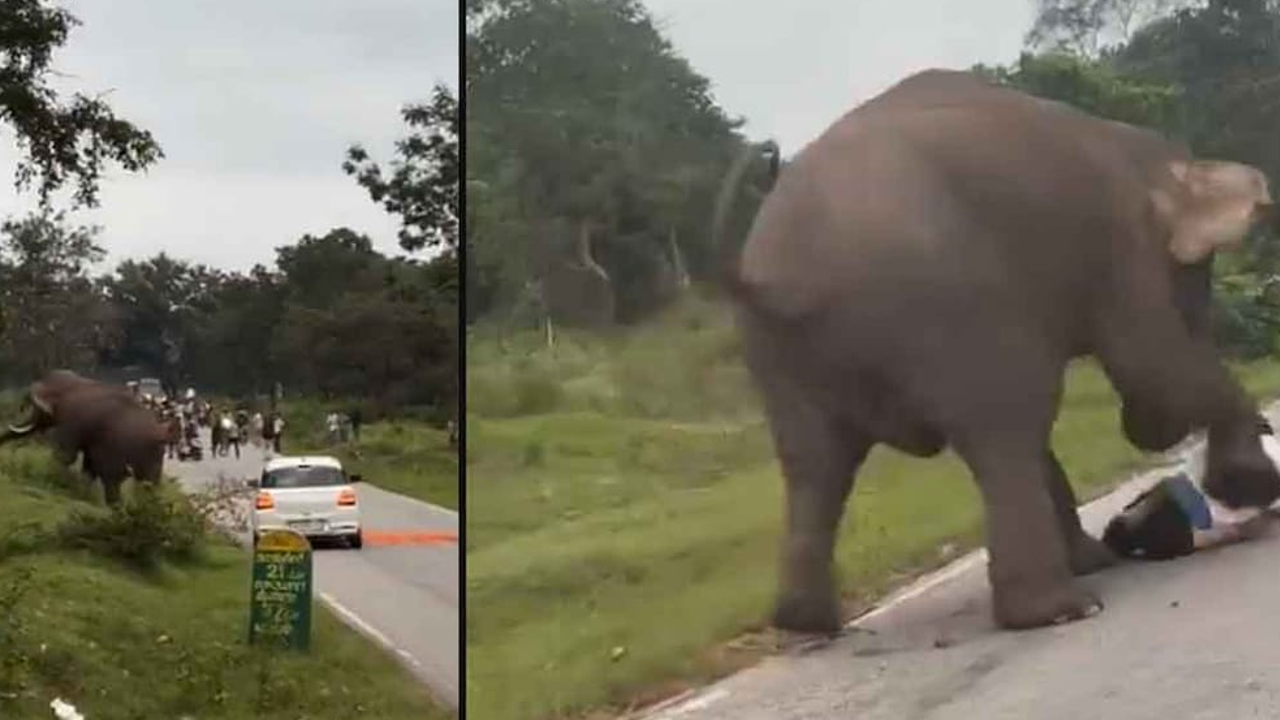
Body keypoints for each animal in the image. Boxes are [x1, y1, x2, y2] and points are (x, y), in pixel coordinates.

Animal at [0, 370, 174, 506]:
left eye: (36, 409)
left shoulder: (72, 421)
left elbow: (66, 456)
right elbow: (87, 465)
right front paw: (81, 494)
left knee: (112, 477)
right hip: (152, 456)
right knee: (147, 483)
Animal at [713, 68, 1280, 633]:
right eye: (1199, 272)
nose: (1147, 433)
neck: (1157, 159)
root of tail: (775, 280)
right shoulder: (1122, 243)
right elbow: (1152, 363)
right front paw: (1250, 485)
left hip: (779, 354)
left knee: (815, 467)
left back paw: (805, 623)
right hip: (945, 306)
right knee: (1009, 429)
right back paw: (1063, 608)